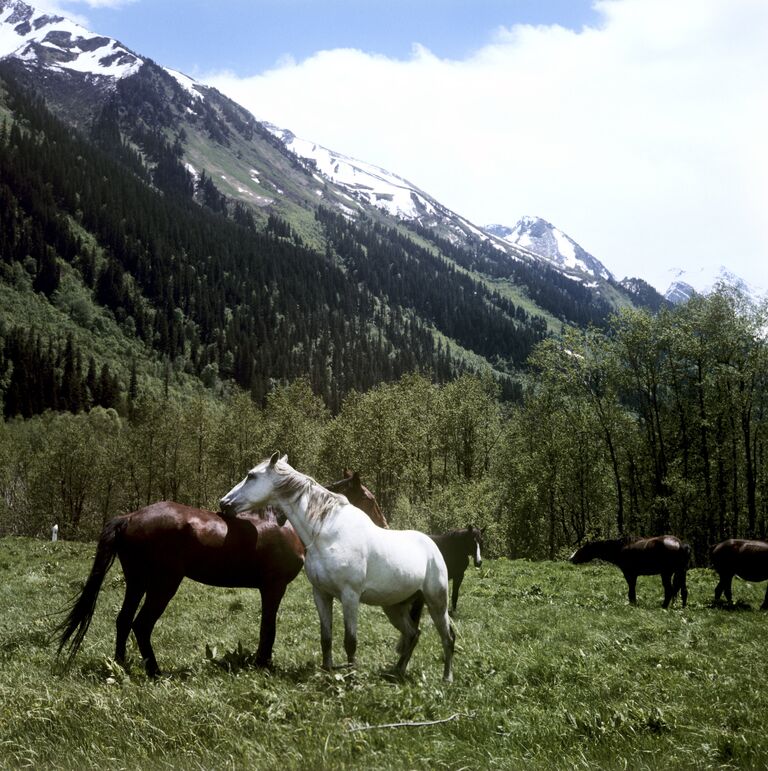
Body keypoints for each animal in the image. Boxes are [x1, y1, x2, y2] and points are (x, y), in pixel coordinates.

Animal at [54, 500, 304, 676]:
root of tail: (130, 517)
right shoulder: (274, 587)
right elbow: (268, 628)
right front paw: (264, 665)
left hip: (137, 583)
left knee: (124, 620)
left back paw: (121, 666)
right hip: (163, 585)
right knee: (141, 625)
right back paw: (155, 673)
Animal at [218, 452, 456, 680]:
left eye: (251, 476)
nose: (224, 503)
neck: (328, 532)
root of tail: (432, 547)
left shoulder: (350, 596)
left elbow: (350, 642)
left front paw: (351, 678)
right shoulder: (321, 594)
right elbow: (326, 638)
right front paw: (327, 672)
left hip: (437, 602)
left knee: (447, 636)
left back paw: (447, 678)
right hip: (394, 607)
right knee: (413, 634)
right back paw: (397, 672)